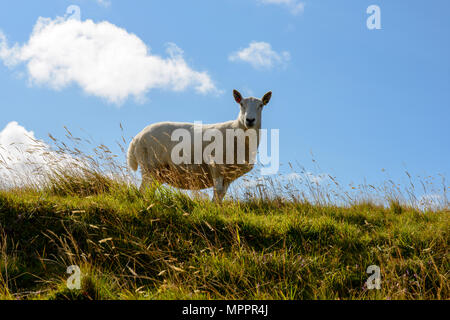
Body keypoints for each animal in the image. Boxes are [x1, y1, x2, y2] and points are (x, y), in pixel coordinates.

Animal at [128, 89, 272, 202]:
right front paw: (214, 209)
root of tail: (137, 138)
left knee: (148, 191)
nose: (250, 120)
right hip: (150, 167)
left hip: (159, 173)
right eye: (241, 104)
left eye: (261, 105)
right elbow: (218, 192)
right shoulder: (216, 166)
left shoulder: (229, 175)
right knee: (143, 190)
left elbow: (221, 194)